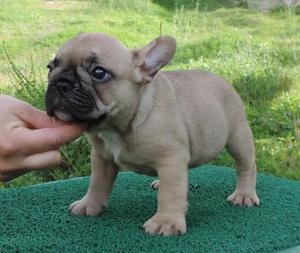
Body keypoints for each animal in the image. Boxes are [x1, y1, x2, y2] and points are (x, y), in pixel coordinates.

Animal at [45, 32, 258, 236]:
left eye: (99, 73)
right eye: (50, 67)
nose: (61, 83)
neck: (118, 127)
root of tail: (224, 80)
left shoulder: (171, 159)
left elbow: (170, 194)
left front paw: (166, 222)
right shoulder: (102, 158)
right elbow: (97, 183)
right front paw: (89, 205)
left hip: (238, 136)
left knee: (246, 166)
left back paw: (244, 194)